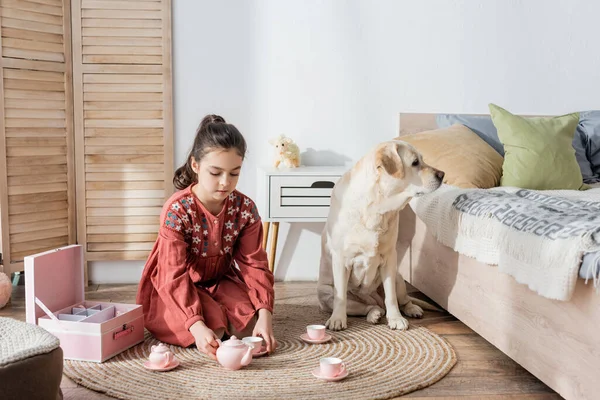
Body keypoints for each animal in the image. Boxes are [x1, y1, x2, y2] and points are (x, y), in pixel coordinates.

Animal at [318, 141, 440, 332]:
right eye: (415, 163)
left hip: (398, 277)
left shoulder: (389, 258)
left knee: (401, 300)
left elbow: (391, 297)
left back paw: (411, 309)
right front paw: (337, 320)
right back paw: (373, 314)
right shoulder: (341, 260)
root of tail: (374, 299)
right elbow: (341, 298)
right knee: (366, 307)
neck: (377, 207)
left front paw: (396, 319)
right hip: (326, 293)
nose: (442, 175)